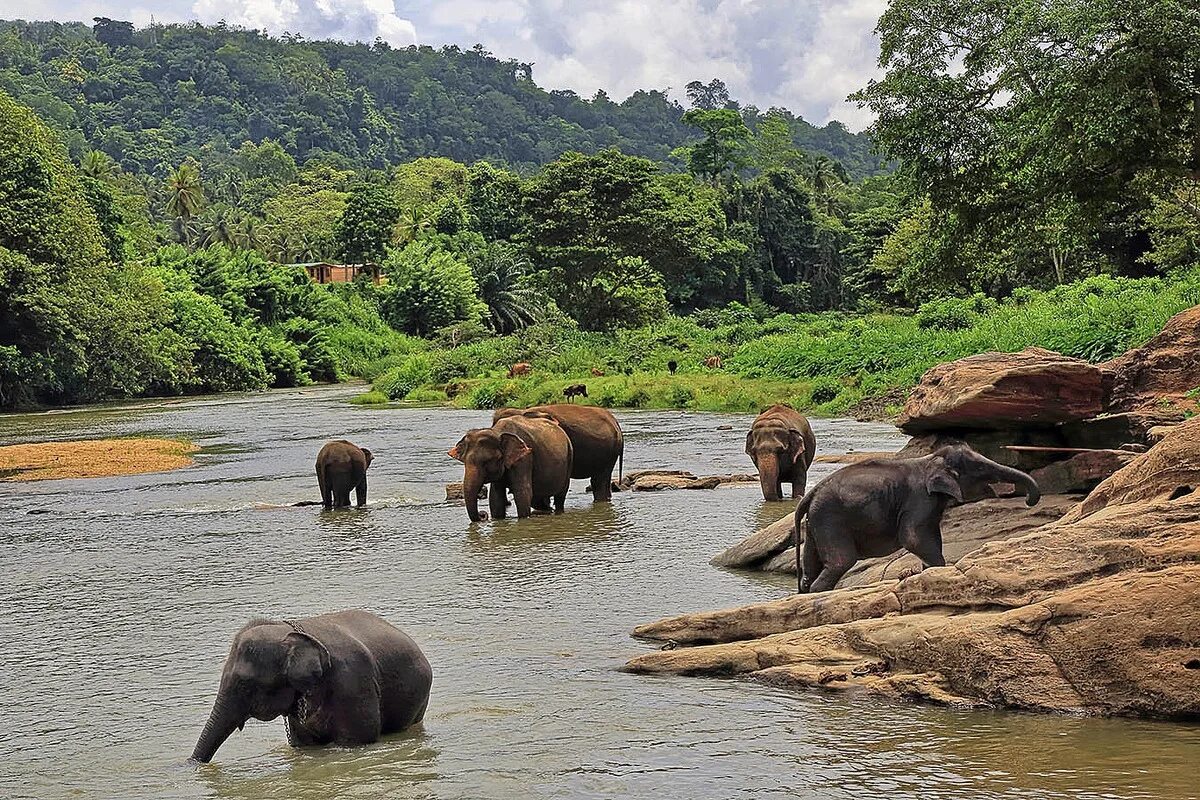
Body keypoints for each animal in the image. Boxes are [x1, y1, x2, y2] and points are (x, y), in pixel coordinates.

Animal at [194, 614, 439, 762]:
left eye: (245, 684)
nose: (192, 764)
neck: (291, 631)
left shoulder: (353, 683)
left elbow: (358, 739)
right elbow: (305, 744)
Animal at [787, 443, 1041, 594]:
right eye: (979, 467)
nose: (1029, 500)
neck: (930, 459)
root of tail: (811, 494)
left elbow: (930, 535)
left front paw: (926, 572)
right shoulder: (919, 498)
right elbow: (913, 537)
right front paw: (938, 569)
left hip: (816, 521)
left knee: (810, 566)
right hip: (831, 519)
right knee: (841, 562)